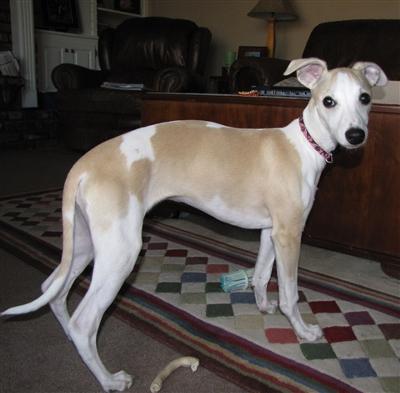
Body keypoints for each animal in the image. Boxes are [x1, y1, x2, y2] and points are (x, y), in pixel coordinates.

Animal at [0, 56, 388, 390]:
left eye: (365, 98)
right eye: (328, 101)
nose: (355, 135)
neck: (303, 146)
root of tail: (82, 166)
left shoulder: (270, 232)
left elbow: (262, 274)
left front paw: (263, 306)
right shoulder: (290, 234)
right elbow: (290, 293)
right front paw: (303, 332)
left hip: (86, 243)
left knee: (54, 289)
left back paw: (73, 342)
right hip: (121, 252)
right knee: (84, 321)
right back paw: (109, 379)